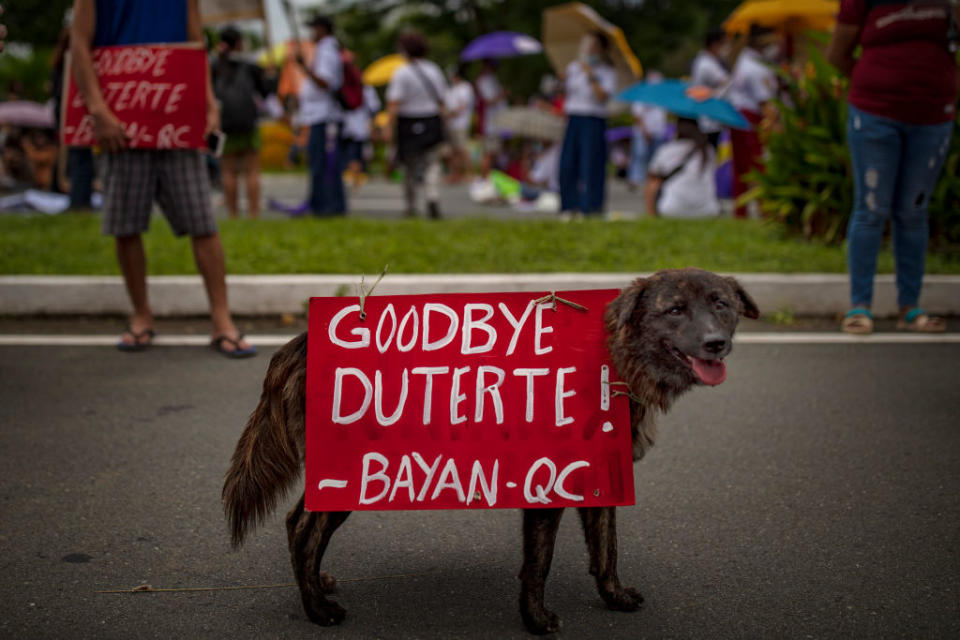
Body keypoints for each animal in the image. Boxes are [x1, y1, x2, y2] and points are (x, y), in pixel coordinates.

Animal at [223, 268, 756, 632]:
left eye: (721, 304)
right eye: (674, 309)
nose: (716, 344)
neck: (615, 360)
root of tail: (296, 344)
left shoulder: (599, 476)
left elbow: (607, 550)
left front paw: (614, 597)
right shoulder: (547, 482)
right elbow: (538, 562)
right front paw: (536, 620)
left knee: (300, 525)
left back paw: (318, 584)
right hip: (353, 472)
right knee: (301, 528)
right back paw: (316, 608)